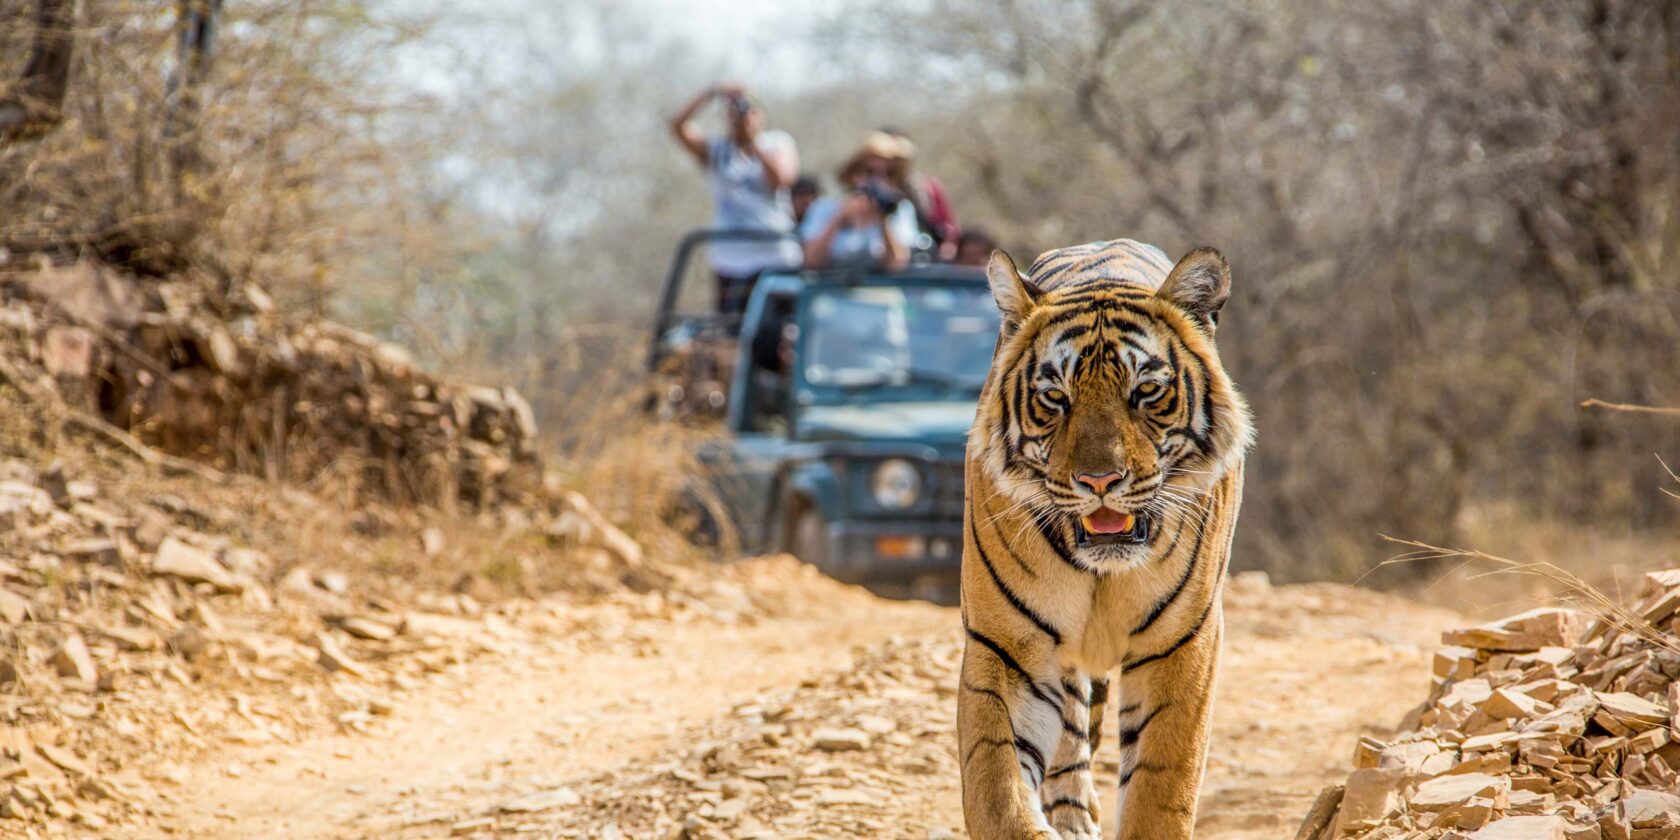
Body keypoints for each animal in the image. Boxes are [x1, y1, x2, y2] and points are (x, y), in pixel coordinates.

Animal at [960, 238, 1249, 840]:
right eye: (1055, 397)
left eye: (1146, 391)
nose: (1099, 482)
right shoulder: (1005, 645)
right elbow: (997, 787)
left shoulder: (1181, 642)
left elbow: (1162, 786)